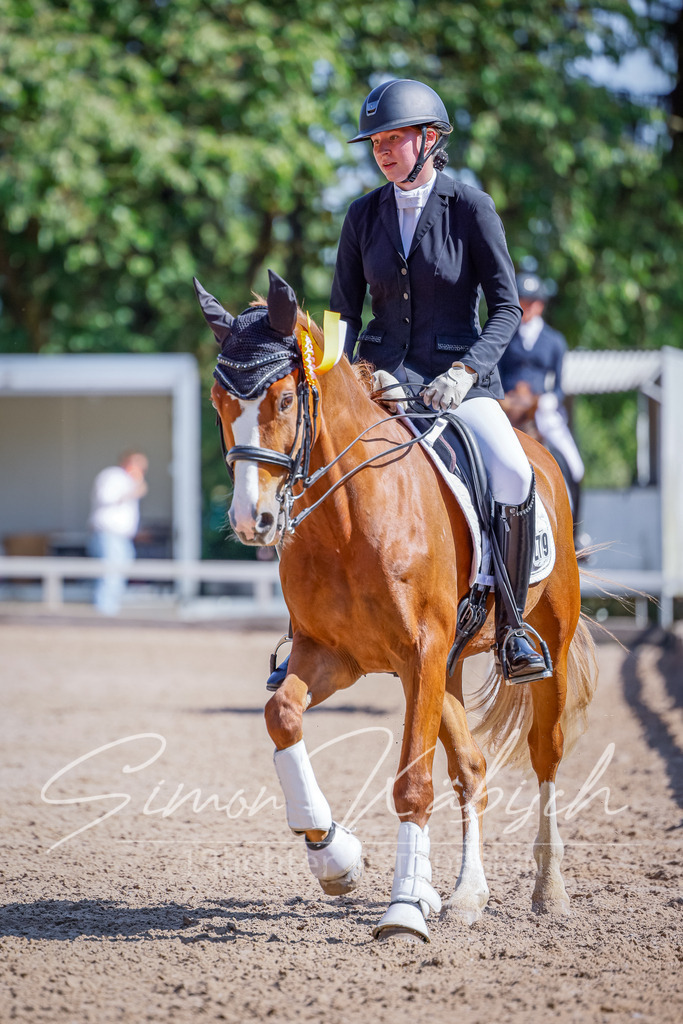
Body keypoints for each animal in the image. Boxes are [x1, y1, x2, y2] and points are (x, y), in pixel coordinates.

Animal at [196, 269, 598, 943]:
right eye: (217, 403)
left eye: (285, 400)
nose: (254, 521)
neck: (347, 519)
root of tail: (538, 450)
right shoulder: (335, 655)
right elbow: (282, 715)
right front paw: (336, 857)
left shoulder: (420, 651)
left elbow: (412, 782)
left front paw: (404, 910)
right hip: (446, 666)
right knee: (473, 767)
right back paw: (463, 894)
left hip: (543, 646)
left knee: (545, 753)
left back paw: (549, 889)